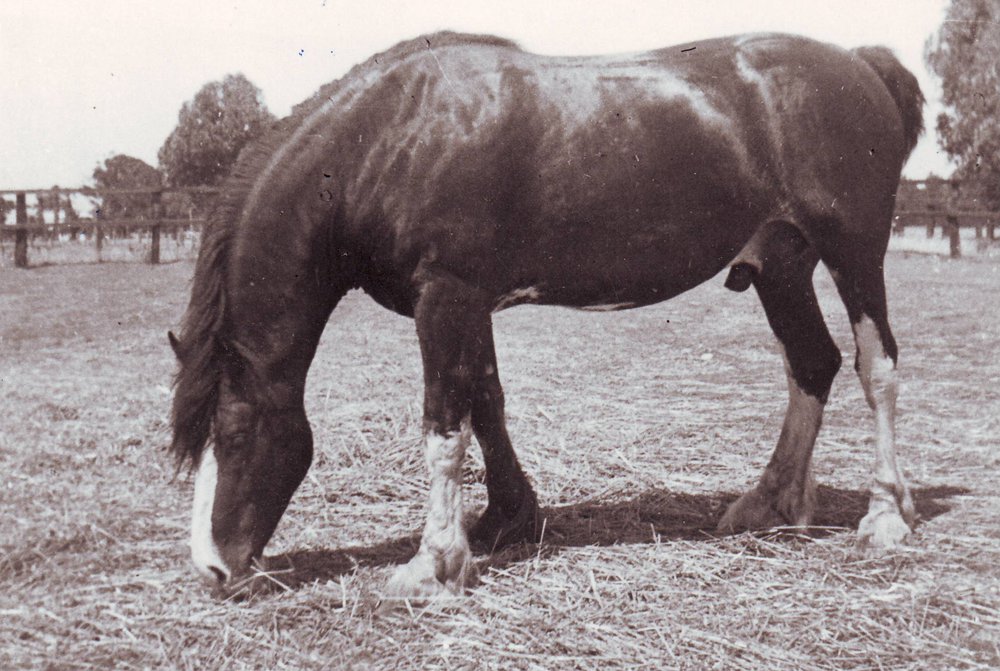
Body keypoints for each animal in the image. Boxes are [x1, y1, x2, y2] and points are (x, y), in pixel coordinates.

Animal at [168, 31, 924, 598]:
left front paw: (433, 563)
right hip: (780, 265)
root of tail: (861, 64)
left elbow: (444, 426)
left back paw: (886, 515)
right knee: (812, 363)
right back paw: (771, 504)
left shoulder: (445, 297)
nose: (213, 568)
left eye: (233, 433)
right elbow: (486, 404)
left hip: (854, 253)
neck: (394, 136)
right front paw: (506, 520)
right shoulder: (470, 303)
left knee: (876, 366)